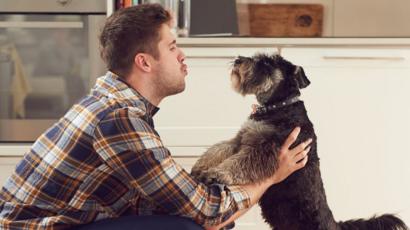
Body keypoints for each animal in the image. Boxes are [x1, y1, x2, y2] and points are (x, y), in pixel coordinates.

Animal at [190, 53, 406, 229]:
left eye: (267, 62)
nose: (237, 60)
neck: (278, 106)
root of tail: (336, 224)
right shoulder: (241, 140)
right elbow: (218, 149)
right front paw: (200, 167)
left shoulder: (265, 149)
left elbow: (238, 163)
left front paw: (215, 174)